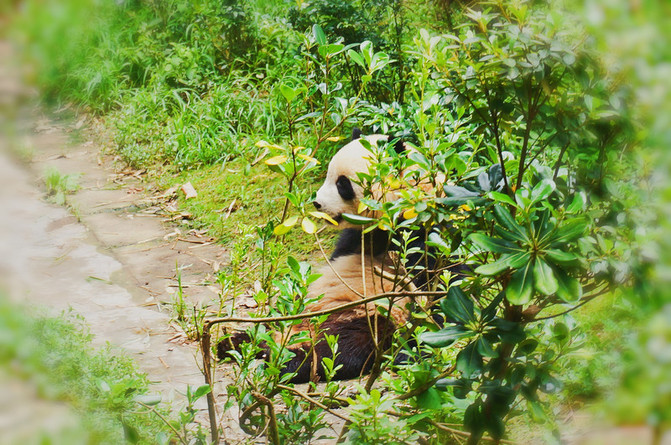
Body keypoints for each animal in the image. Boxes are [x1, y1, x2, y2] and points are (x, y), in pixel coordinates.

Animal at [218, 130, 448, 383]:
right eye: (328, 175)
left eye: (342, 184)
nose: (317, 203)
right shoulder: (359, 236)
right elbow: (342, 252)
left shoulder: (427, 231)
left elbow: (434, 285)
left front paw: (415, 350)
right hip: (304, 309)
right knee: (273, 323)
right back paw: (235, 342)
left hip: (364, 313)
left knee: (342, 346)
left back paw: (290, 361)